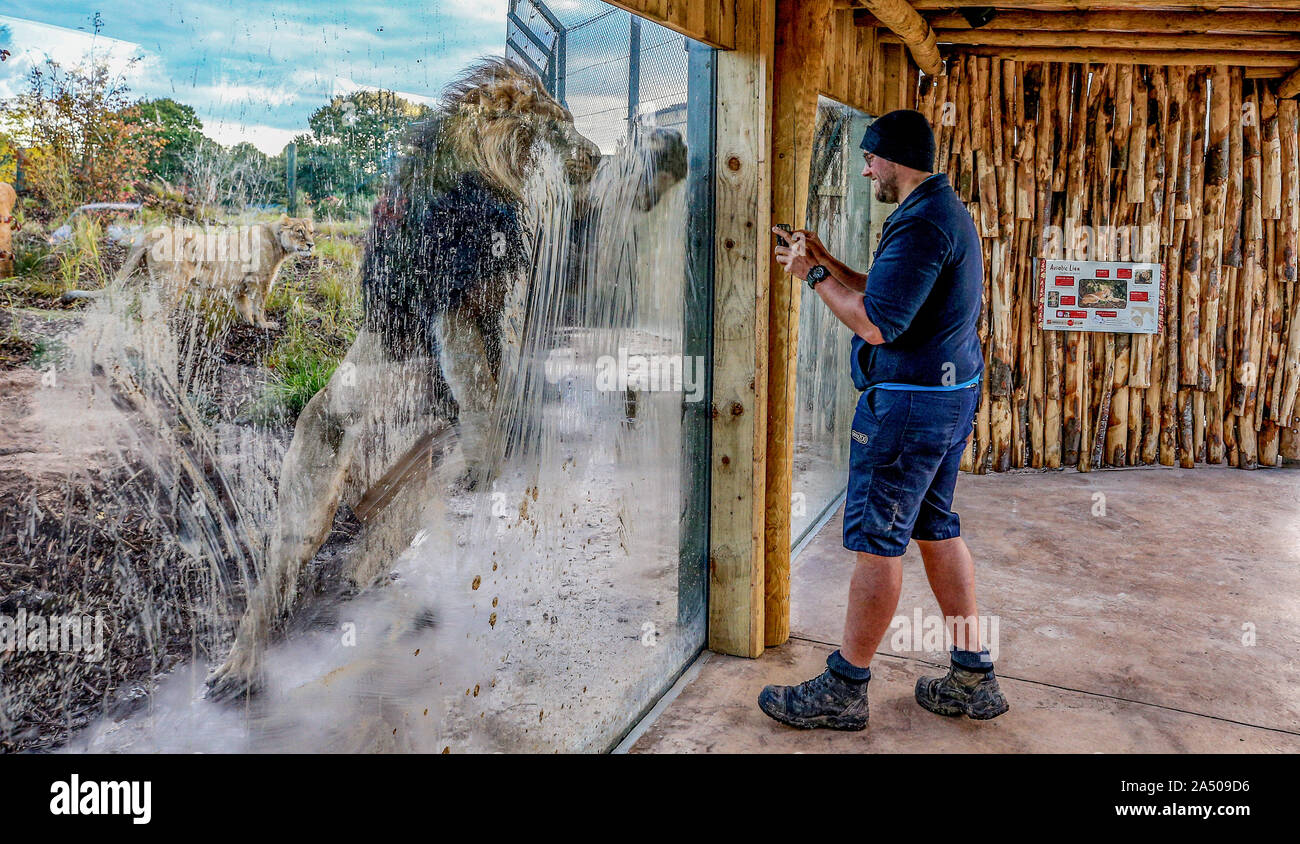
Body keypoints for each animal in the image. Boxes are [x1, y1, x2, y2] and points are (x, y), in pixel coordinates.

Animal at [63, 211, 314, 327]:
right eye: (299, 231)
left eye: (311, 232)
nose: (311, 245)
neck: (278, 242)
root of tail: (151, 233)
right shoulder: (260, 281)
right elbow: (259, 306)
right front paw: (264, 325)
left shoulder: (240, 286)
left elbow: (244, 307)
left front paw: (249, 324)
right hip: (173, 284)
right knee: (153, 314)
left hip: (137, 275)